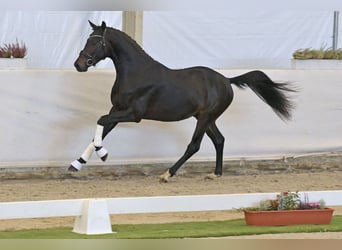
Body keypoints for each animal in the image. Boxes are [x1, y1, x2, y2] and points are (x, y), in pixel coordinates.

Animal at [69, 21, 294, 182]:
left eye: (96, 42)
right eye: (87, 40)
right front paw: (76, 164)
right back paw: (215, 173)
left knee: (194, 145)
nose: (79, 64)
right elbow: (99, 130)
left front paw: (103, 155)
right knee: (219, 140)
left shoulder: (134, 114)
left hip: (204, 118)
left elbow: (100, 121)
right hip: (206, 118)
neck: (136, 73)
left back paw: (167, 174)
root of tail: (226, 80)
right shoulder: (116, 109)